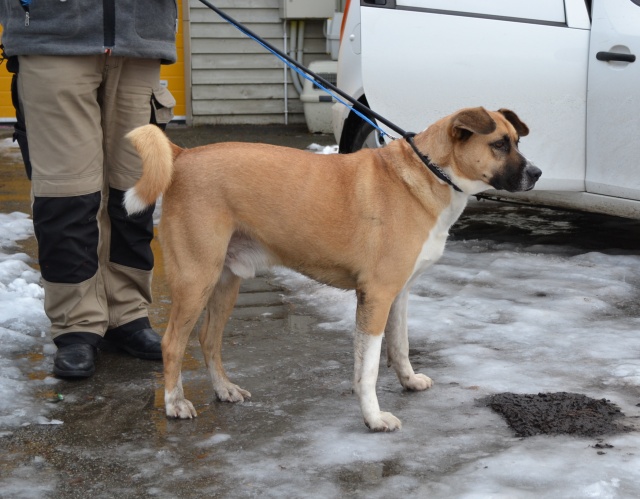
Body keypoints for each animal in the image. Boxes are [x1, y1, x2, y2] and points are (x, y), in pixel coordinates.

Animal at [125, 107, 541, 431]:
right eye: (499, 144)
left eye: (516, 142)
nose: (536, 173)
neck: (430, 172)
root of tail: (182, 155)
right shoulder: (376, 295)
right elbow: (368, 367)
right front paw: (373, 418)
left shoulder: (399, 294)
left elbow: (400, 345)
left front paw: (407, 380)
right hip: (196, 280)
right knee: (173, 343)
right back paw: (174, 403)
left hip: (225, 283)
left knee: (208, 339)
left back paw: (224, 389)